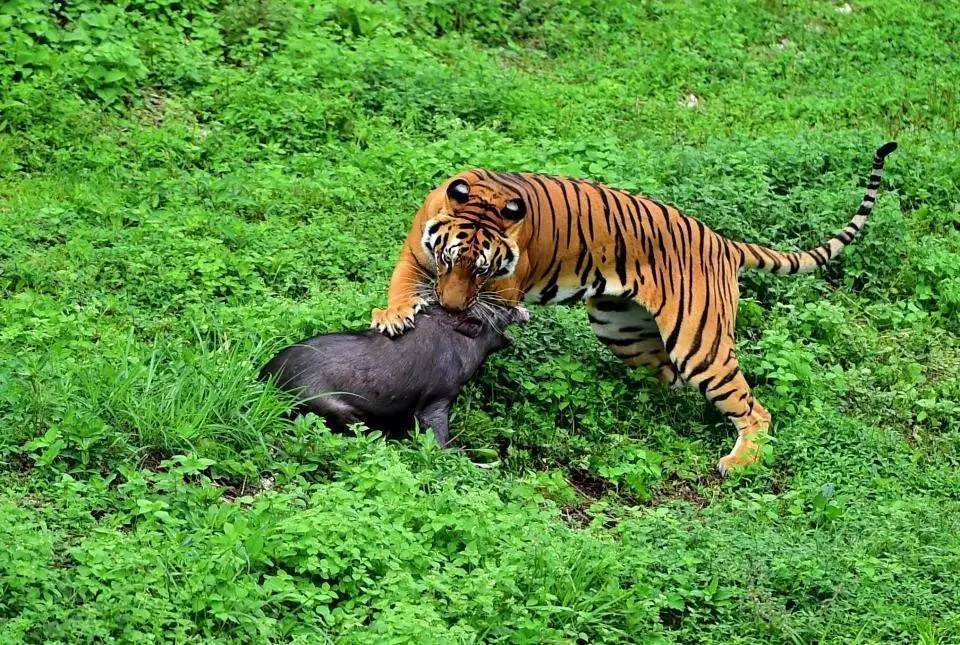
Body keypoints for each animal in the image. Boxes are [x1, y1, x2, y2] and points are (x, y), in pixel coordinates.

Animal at [372, 142, 896, 472]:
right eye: (448, 260)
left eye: (483, 270)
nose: (448, 305)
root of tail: (723, 242)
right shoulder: (415, 253)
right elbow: (402, 285)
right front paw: (394, 315)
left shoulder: (503, 291)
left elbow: (484, 315)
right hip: (620, 328)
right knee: (666, 382)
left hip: (700, 344)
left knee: (753, 409)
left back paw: (738, 462)